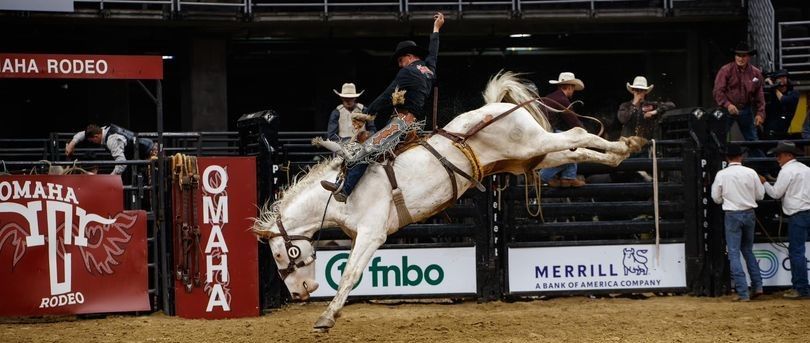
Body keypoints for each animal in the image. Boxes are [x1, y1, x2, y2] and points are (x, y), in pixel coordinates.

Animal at [252, 72, 644, 334]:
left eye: (281, 254)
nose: (299, 293)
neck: (336, 191)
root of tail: (496, 106)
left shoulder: (372, 233)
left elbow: (349, 273)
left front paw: (326, 317)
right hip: (530, 157)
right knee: (576, 150)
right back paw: (623, 150)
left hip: (534, 144)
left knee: (575, 133)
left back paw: (628, 143)